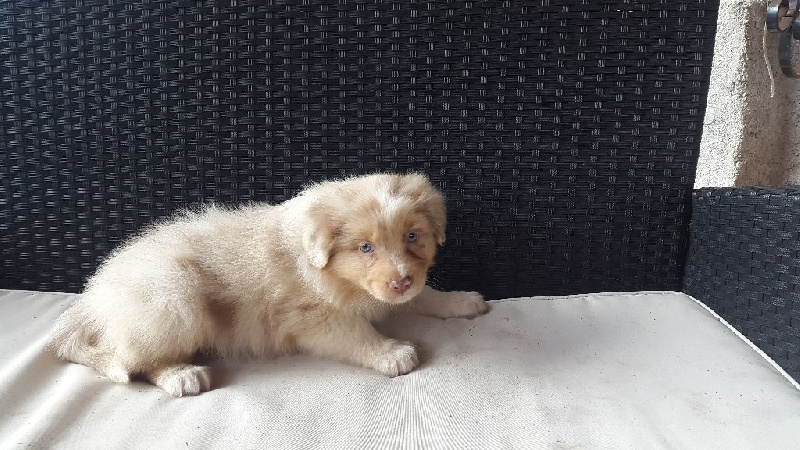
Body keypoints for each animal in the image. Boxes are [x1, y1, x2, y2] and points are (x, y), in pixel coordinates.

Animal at [46, 173, 489, 397]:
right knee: (128, 358)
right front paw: (389, 352)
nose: (401, 281)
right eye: (365, 247)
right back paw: (180, 374)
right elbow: (354, 331)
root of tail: (92, 298)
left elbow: (424, 295)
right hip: (173, 296)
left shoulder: (389, 290)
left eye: (413, 237)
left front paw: (460, 301)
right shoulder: (311, 317)